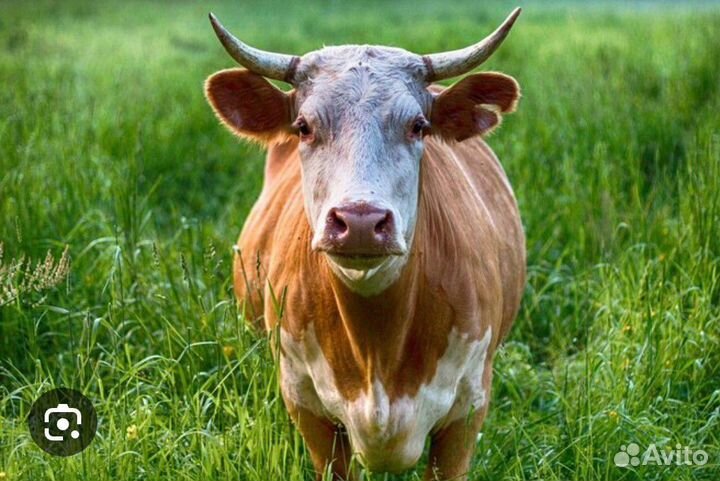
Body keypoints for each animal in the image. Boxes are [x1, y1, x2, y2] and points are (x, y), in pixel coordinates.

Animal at [204, 8, 526, 480]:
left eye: (418, 126)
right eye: (304, 127)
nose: (359, 221)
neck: (378, 348)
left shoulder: (468, 409)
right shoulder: (305, 405)